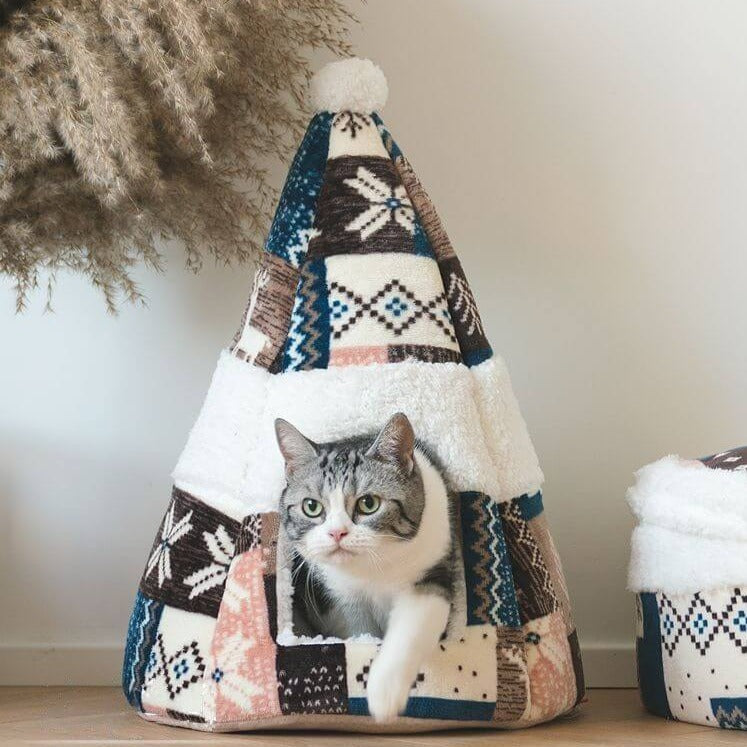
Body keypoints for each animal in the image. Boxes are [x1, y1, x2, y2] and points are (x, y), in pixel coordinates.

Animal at [276, 412, 456, 720]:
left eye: (368, 503)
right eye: (311, 506)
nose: (337, 533)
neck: (373, 568)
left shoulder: (432, 572)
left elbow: (413, 626)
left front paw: (384, 693)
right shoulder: (339, 599)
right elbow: (359, 634)